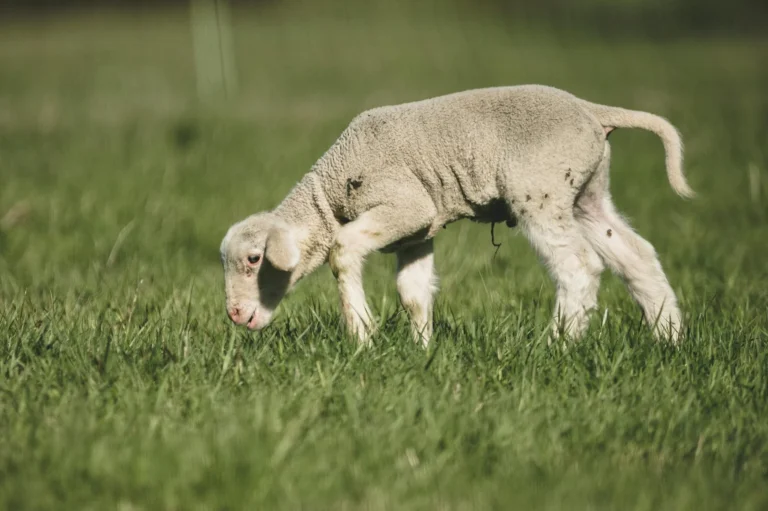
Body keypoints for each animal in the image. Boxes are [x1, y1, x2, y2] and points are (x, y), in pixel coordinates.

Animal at [220, 84, 693, 346]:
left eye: (254, 260)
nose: (235, 315)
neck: (330, 194)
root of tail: (591, 110)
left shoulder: (405, 203)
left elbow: (342, 249)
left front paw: (361, 336)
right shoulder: (416, 232)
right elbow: (412, 291)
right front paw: (422, 350)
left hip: (540, 190)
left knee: (578, 266)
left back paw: (557, 344)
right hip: (586, 193)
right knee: (636, 256)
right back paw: (669, 339)